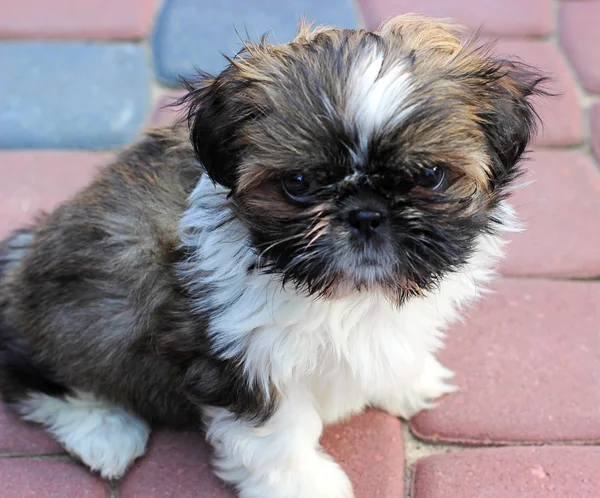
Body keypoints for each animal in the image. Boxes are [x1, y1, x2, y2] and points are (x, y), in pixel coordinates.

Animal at [0, 13, 544, 498]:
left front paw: (406, 380)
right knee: (30, 371)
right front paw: (305, 487)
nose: (366, 214)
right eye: (298, 184)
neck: (345, 297)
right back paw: (104, 432)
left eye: (430, 175)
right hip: (88, 315)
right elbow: (276, 435)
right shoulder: (240, 355)